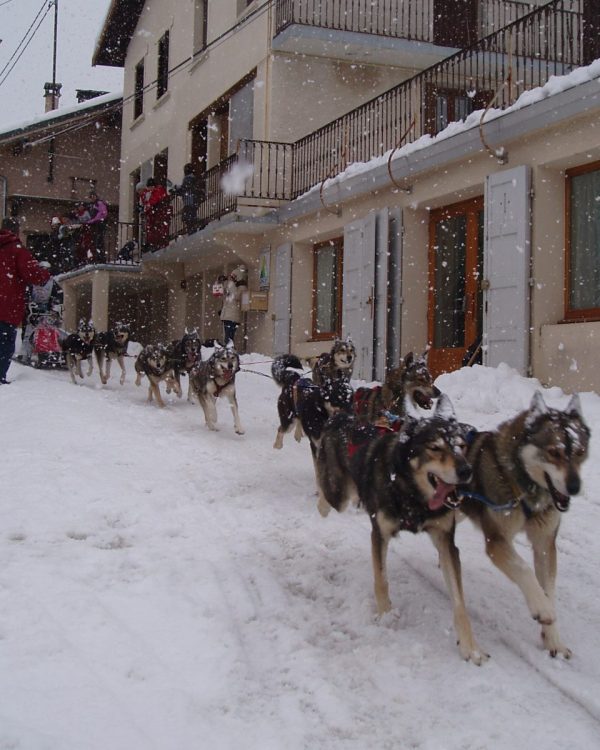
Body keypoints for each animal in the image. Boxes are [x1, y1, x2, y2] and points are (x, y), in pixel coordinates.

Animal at [316, 396, 490, 668]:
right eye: (435, 448)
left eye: (461, 446)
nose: (466, 471)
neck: (411, 494)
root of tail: (340, 416)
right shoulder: (379, 533)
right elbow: (381, 579)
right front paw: (386, 615)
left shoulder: (446, 542)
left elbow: (460, 603)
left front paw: (470, 647)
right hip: (337, 493)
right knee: (326, 499)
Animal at [462, 390, 588, 660]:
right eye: (554, 452)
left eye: (580, 451)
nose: (575, 487)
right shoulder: (497, 541)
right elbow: (523, 569)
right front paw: (542, 607)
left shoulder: (545, 543)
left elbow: (548, 587)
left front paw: (554, 640)